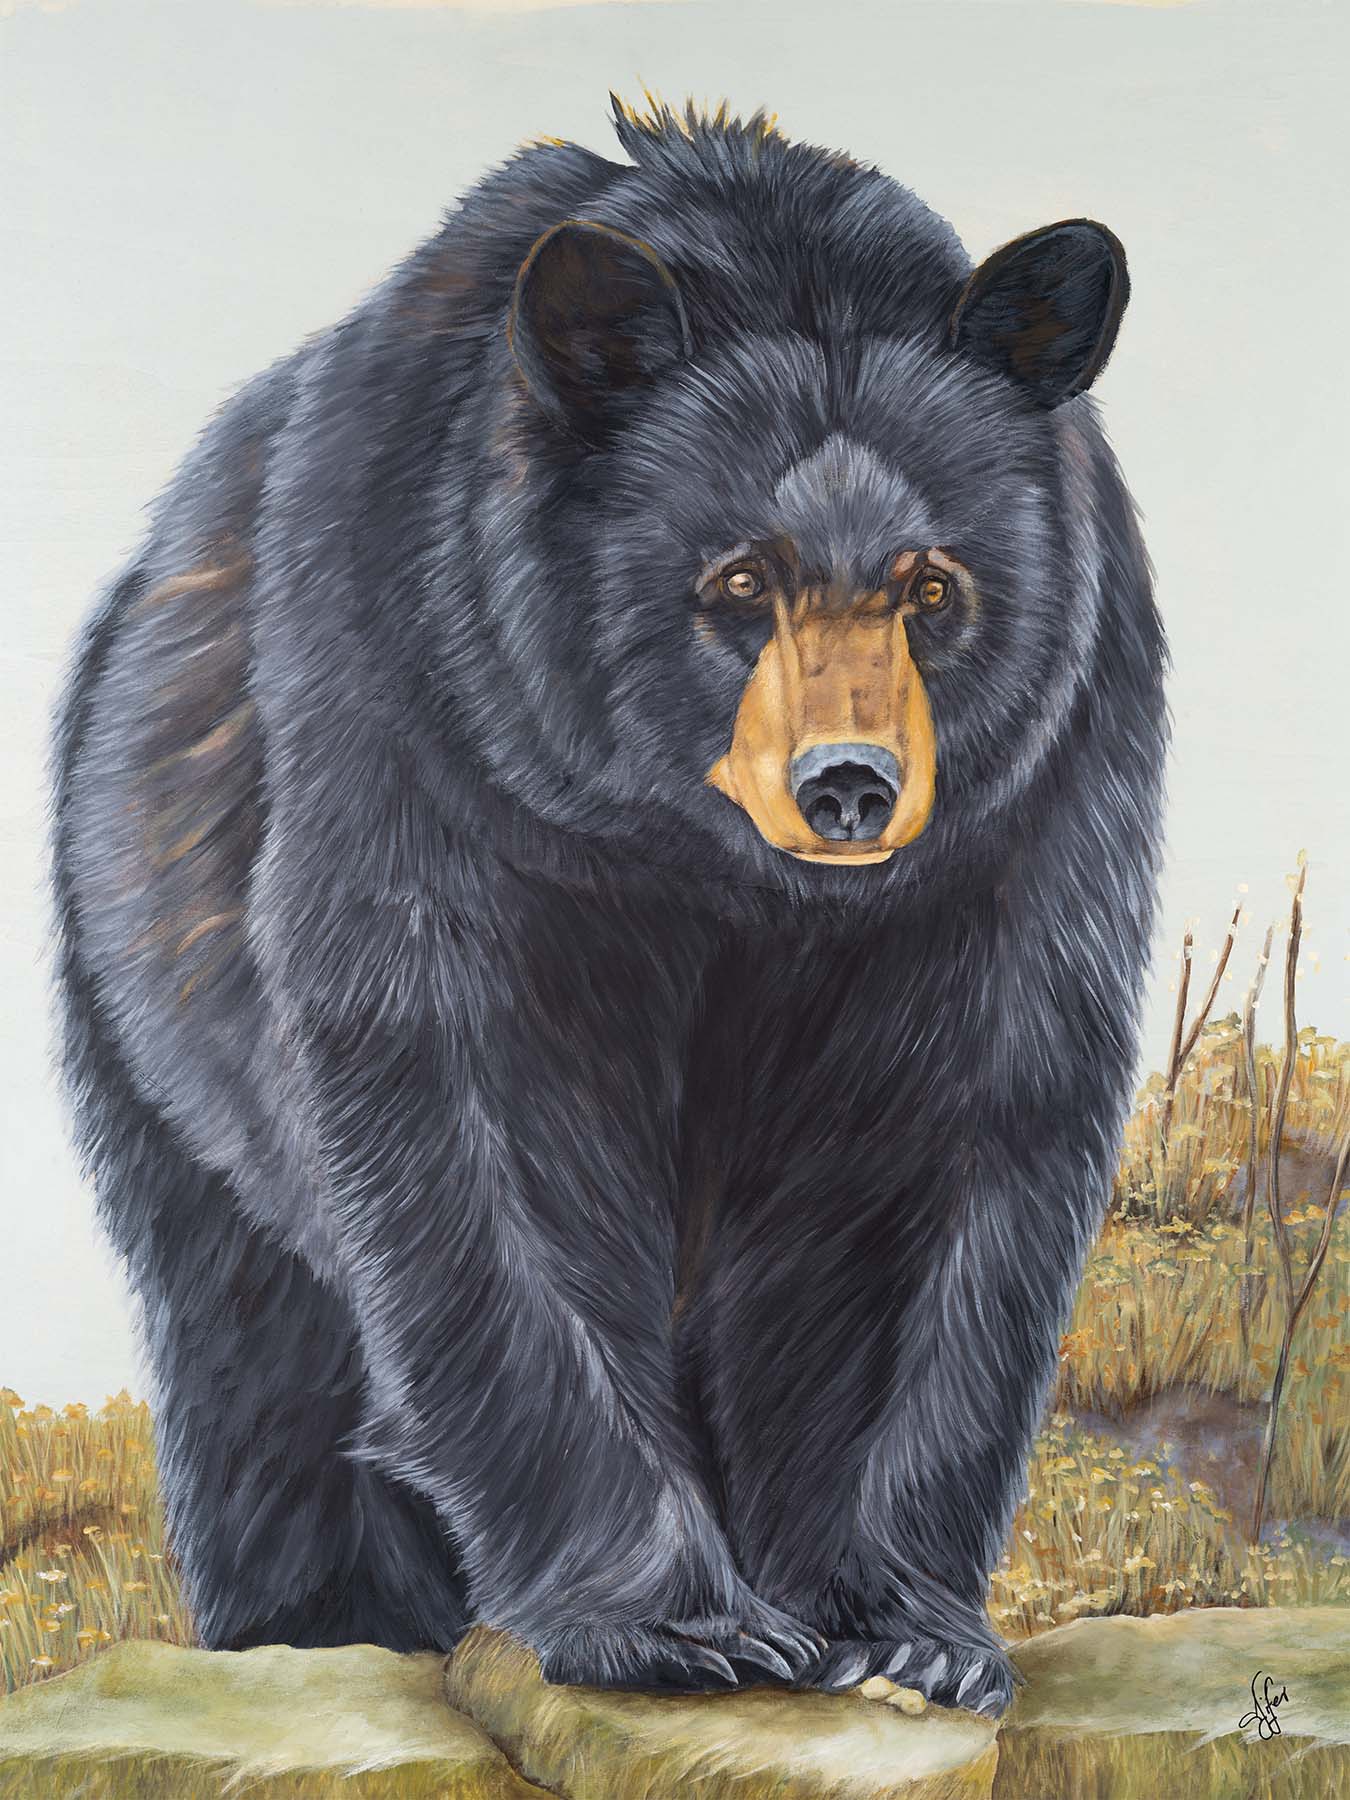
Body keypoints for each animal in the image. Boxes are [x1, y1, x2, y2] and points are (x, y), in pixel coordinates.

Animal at [50, 96, 1165, 1717]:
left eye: (932, 586)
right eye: (740, 578)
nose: (850, 785)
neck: (701, 856)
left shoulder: (1024, 807)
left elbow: (939, 1140)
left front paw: (898, 1625)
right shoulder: (431, 719)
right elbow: (479, 1131)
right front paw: (676, 1625)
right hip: (140, 991)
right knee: (249, 1333)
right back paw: (315, 1619)